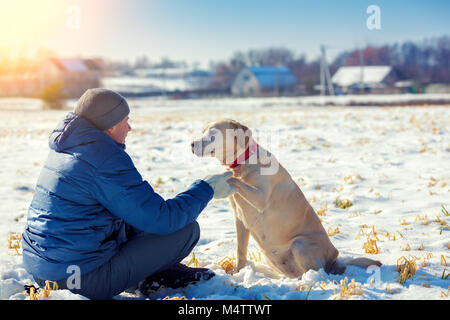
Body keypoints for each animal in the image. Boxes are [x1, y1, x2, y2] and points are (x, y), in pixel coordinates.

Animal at [192, 119, 382, 278]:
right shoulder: (239, 219)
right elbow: (240, 250)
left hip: (300, 244)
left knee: (316, 272)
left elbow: (233, 180)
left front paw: (219, 179)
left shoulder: (260, 199)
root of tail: (335, 261)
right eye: (202, 131)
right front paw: (237, 272)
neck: (243, 163)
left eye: (213, 134)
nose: (191, 144)